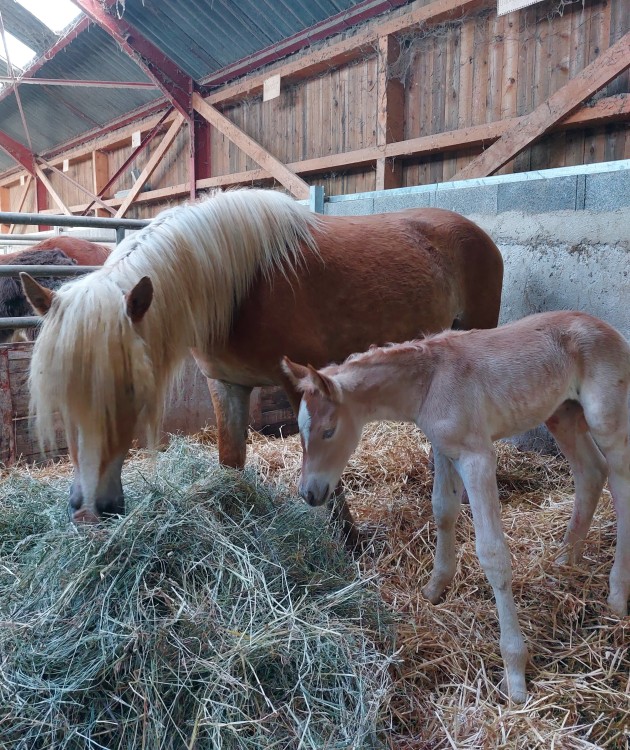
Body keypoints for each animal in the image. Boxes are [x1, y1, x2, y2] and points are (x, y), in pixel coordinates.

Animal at [22, 189, 504, 536]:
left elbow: (324, 470)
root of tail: (478, 233)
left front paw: (349, 541)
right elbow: (231, 462)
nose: (89, 509)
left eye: (130, 389)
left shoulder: (306, 388)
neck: (242, 286)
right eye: (60, 397)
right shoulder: (226, 385)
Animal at [282, 312, 630, 704]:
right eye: (299, 429)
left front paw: (515, 673)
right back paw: (565, 559)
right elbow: (443, 510)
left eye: (329, 430)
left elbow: (493, 553)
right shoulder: (444, 448)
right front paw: (435, 588)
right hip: (562, 413)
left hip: (605, 418)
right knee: (591, 472)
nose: (310, 493)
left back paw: (617, 596)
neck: (430, 381)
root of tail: (606, 328)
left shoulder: (477, 457)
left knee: (620, 482)